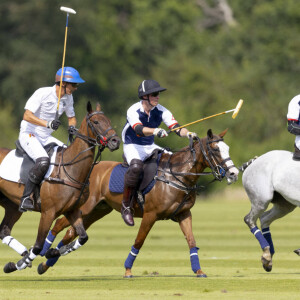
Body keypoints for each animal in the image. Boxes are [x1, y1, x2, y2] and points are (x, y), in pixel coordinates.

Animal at [0, 102, 120, 274]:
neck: (70, 169)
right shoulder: (48, 212)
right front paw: (22, 262)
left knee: (4, 231)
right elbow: (37, 246)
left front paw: (53, 252)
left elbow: (83, 237)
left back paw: (22, 253)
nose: (115, 141)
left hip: (12, 205)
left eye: (108, 120)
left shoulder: (73, 210)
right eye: (96, 122)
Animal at [38, 128, 239, 276]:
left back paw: (46, 263)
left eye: (228, 148)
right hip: (84, 208)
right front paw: (127, 270)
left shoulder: (184, 213)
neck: (178, 176)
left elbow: (191, 241)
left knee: (71, 232)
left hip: (98, 210)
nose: (234, 173)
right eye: (215, 149)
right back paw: (44, 251)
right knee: (59, 224)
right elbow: (139, 241)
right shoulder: (151, 214)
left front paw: (198, 270)